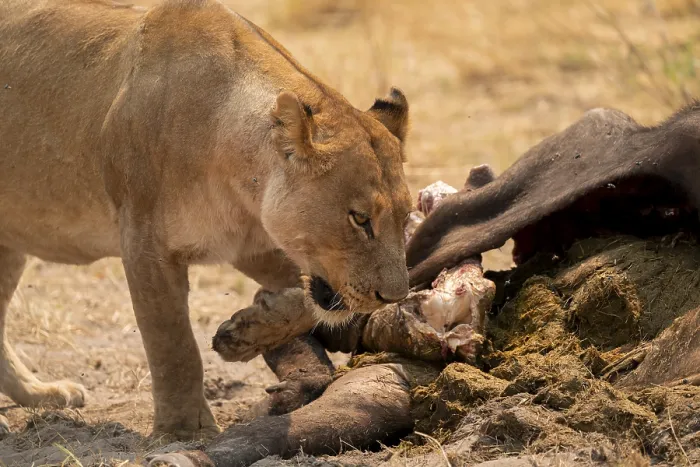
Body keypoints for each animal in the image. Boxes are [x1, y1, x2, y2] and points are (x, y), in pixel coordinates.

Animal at [0, 0, 412, 439]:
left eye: (406, 216)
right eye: (359, 218)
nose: (395, 297)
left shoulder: (252, 244)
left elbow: (305, 304)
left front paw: (245, 332)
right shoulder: (144, 244)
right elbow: (173, 344)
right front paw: (184, 431)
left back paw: (40, 393)